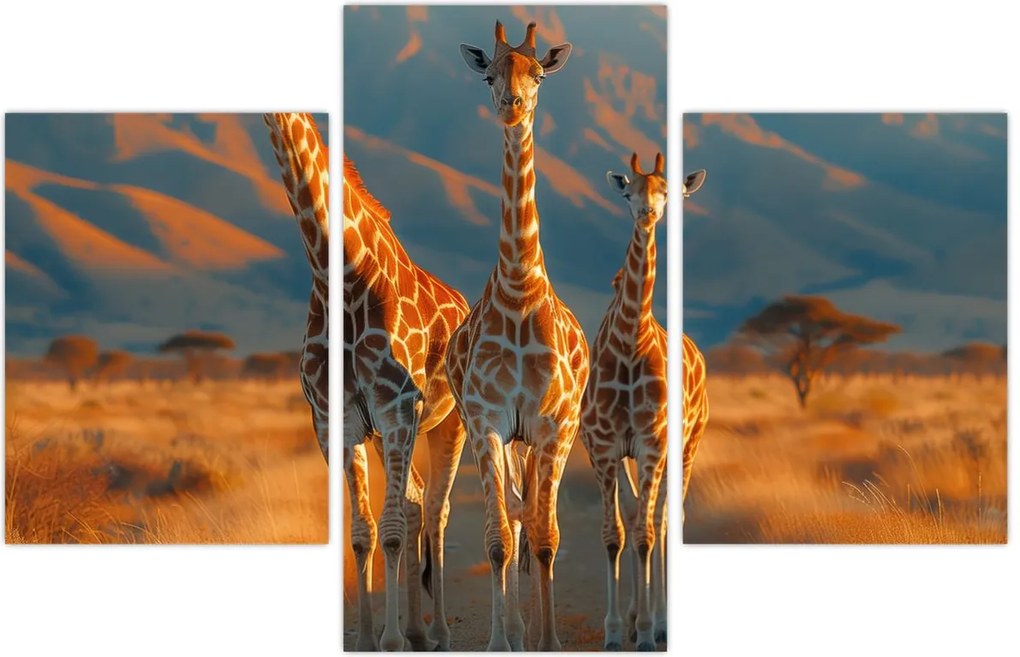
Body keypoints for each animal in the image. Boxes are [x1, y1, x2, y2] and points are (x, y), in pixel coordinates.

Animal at [336, 151, 469, 651]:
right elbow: (367, 529)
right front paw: (374, 635)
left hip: (450, 425)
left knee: (435, 507)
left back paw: (437, 631)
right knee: (414, 503)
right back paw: (413, 629)